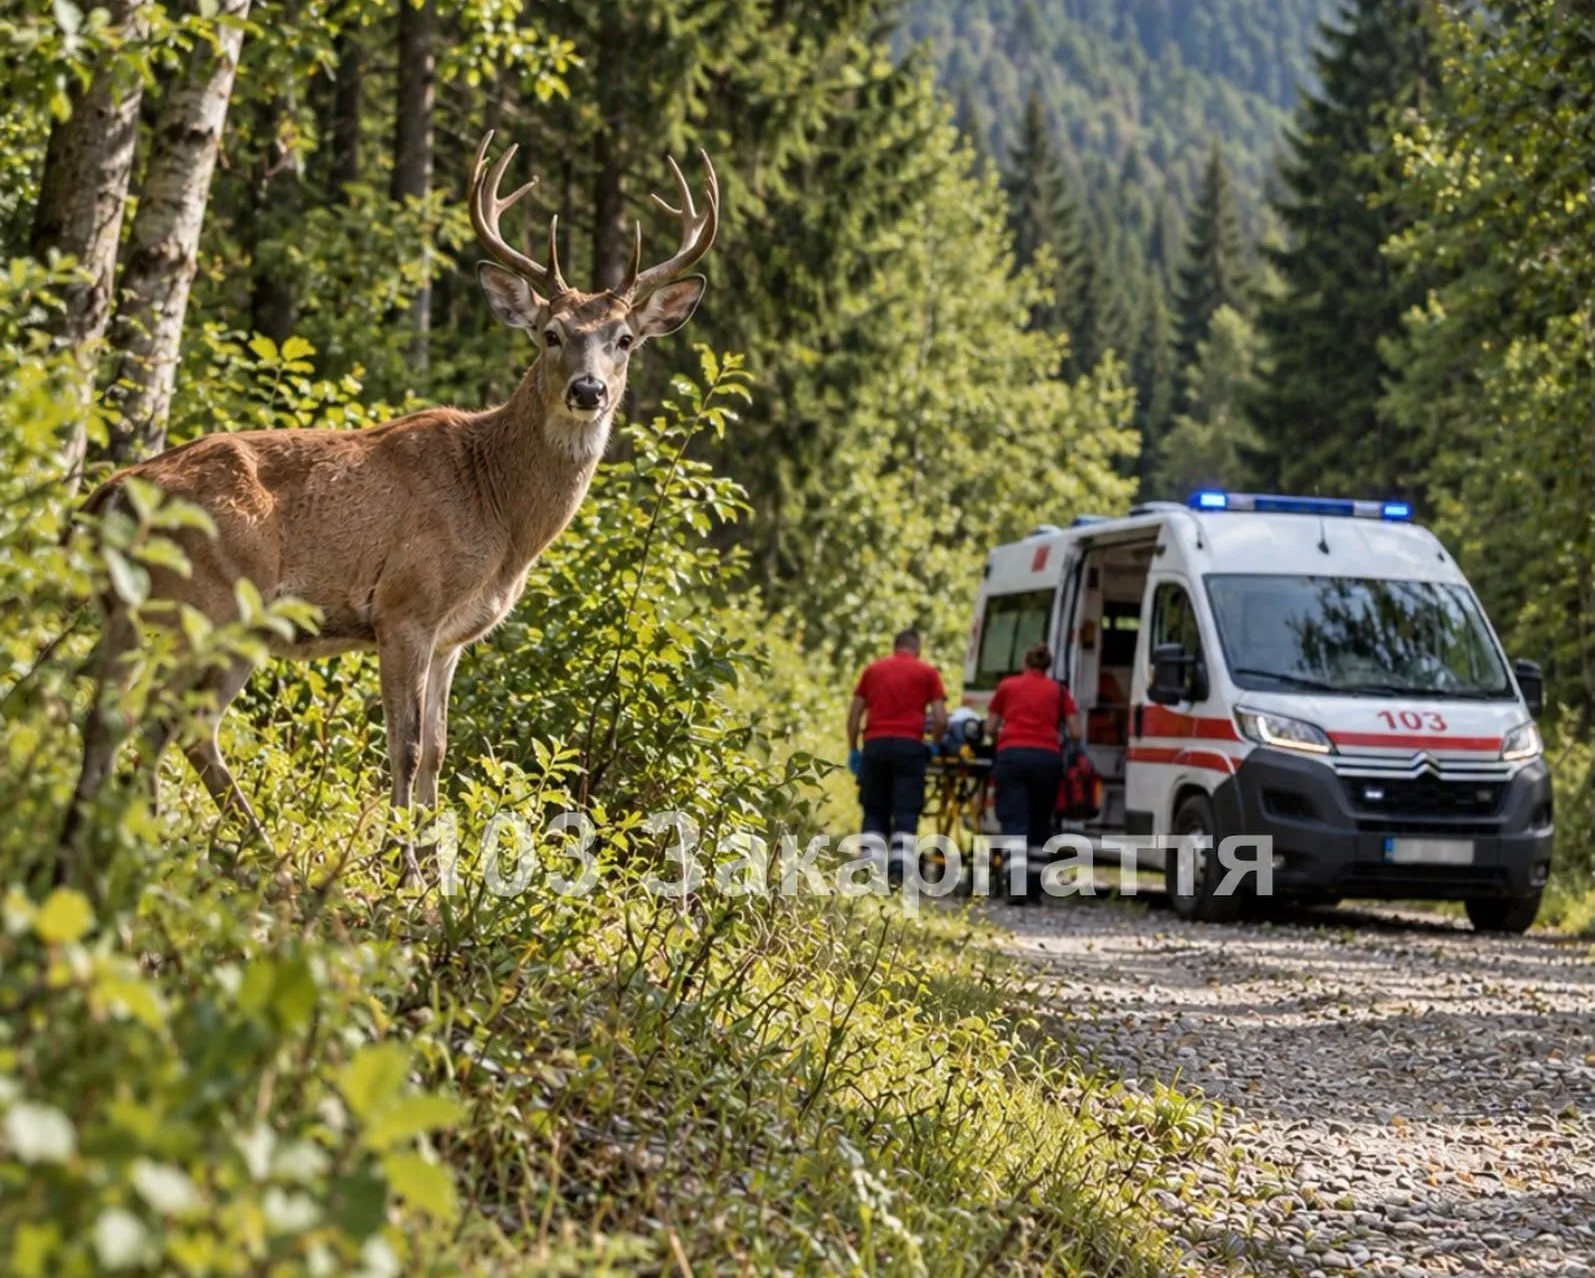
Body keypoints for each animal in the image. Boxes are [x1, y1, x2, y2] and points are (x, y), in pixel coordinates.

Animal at [60, 131, 719, 880]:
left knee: (117, 715)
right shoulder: (406, 606)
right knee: (176, 723)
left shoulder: (454, 635)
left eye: (625, 340)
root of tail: (110, 494)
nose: (588, 390)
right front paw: (403, 869)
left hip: (140, 611)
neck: (498, 509)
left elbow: (436, 749)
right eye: (551, 333)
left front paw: (441, 875)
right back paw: (223, 851)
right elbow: (401, 746)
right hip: (216, 603)